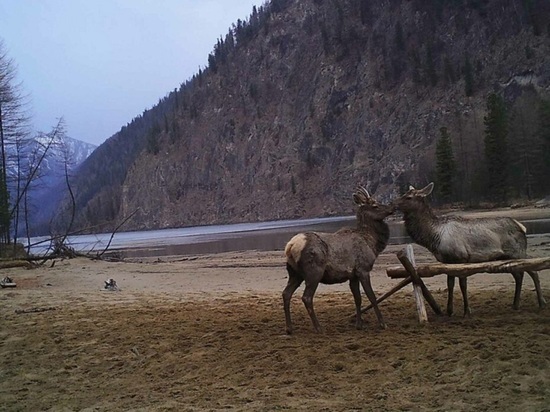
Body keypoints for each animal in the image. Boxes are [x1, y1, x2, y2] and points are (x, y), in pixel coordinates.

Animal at [282, 187, 394, 334]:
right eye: (375, 205)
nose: (392, 207)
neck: (372, 243)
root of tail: (290, 246)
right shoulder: (363, 269)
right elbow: (371, 296)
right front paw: (382, 323)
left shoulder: (353, 275)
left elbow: (357, 298)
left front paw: (359, 324)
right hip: (314, 271)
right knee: (306, 297)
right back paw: (318, 327)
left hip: (294, 273)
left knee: (286, 294)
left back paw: (289, 328)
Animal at [396, 183, 548, 316]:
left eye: (409, 197)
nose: (393, 203)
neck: (434, 236)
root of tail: (521, 227)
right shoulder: (448, 262)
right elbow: (450, 284)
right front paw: (449, 311)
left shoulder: (462, 258)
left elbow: (463, 285)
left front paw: (466, 311)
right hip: (507, 256)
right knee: (519, 274)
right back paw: (516, 304)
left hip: (518, 253)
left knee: (533, 271)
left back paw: (541, 302)